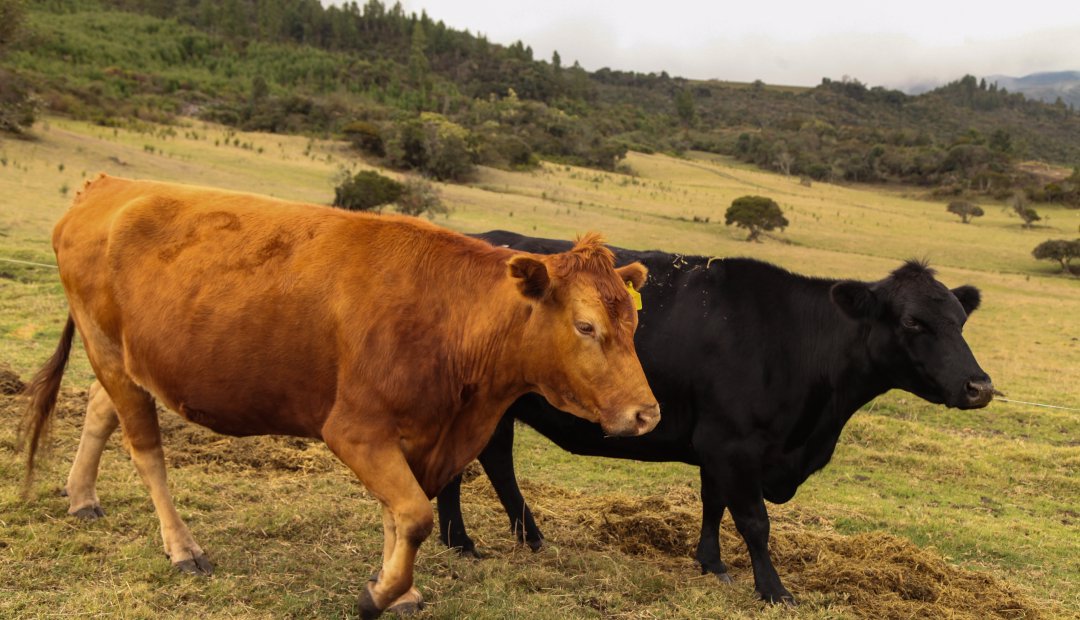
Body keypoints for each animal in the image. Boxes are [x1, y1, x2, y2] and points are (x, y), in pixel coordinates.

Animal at [21, 176, 656, 620]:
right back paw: (182, 547)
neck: (450, 318)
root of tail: (107, 186)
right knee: (145, 447)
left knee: (102, 411)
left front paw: (400, 591)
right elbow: (414, 515)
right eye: (585, 326)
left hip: (131, 362)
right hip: (107, 348)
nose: (647, 414)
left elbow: (396, 516)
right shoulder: (355, 430)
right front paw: (380, 594)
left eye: (632, 324)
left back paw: (81, 496)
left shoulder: (413, 437)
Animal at [434, 231, 989, 604]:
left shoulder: (718, 446)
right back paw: (463, 541)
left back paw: (518, 537)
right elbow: (754, 520)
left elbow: (713, 504)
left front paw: (712, 563)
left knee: (492, 460)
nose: (979, 386)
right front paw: (774, 590)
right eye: (913, 321)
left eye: (960, 320)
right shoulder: (733, 444)